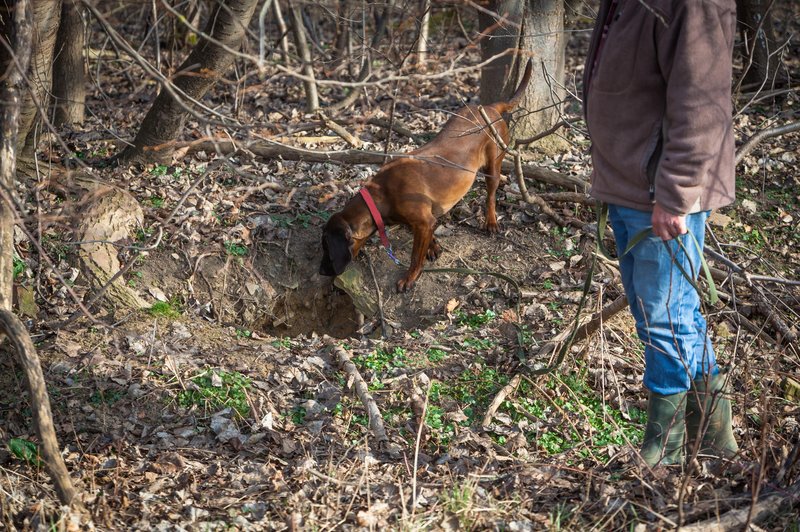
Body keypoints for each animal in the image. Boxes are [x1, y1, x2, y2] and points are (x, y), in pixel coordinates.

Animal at [318, 62, 532, 296]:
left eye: (327, 248)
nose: (320, 271)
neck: (380, 196)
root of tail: (490, 107)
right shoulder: (423, 222)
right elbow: (428, 235)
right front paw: (433, 246)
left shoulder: (422, 222)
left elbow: (414, 257)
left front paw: (410, 277)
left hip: (494, 164)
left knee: (491, 196)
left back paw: (491, 221)